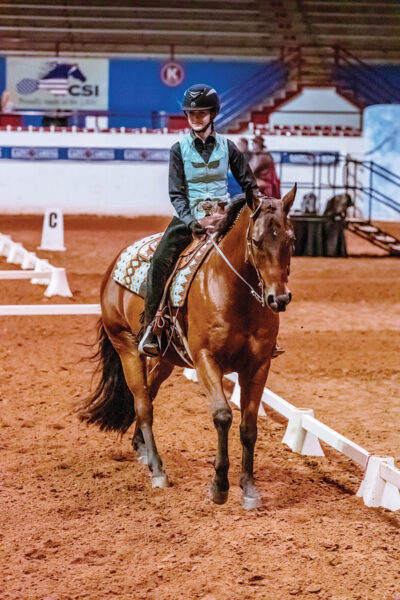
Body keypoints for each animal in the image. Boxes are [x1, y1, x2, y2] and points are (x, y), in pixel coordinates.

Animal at [79, 185, 296, 508]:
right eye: (256, 241)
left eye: (291, 240)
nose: (278, 299)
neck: (231, 290)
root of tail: (113, 266)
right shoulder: (206, 360)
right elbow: (223, 416)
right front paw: (219, 486)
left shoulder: (258, 365)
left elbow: (249, 426)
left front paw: (249, 488)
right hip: (126, 347)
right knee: (143, 404)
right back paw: (158, 470)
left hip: (166, 359)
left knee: (149, 393)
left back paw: (141, 449)